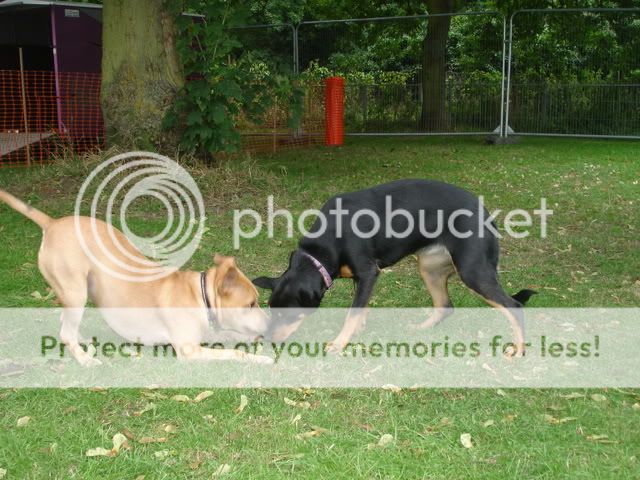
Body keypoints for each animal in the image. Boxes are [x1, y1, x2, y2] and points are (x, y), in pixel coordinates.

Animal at [0, 189, 272, 366]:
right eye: (250, 304)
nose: (270, 324)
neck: (201, 296)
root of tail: (52, 223)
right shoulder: (189, 350)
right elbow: (235, 352)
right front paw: (260, 357)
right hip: (75, 290)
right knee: (65, 332)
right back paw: (85, 359)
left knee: (65, 323)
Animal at [254, 180, 536, 356]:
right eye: (271, 311)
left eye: (289, 315)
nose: (267, 341)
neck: (322, 249)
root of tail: (487, 215)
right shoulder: (361, 278)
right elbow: (361, 307)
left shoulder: (368, 272)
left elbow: (352, 312)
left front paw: (340, 343)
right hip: (429, 267)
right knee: (445, 305)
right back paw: (421, 328)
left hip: (472, 271)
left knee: (514, 306)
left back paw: (518, 349)